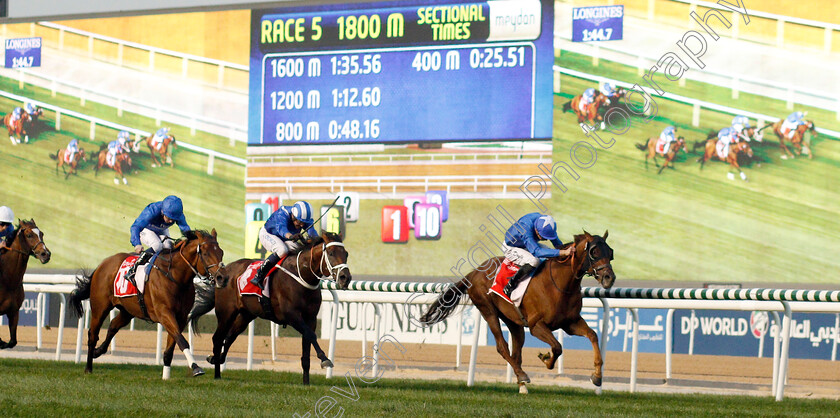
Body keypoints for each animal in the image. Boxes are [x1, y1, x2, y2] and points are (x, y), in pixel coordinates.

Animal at [0, 220, 51, 348]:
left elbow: (12, 342)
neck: (8, 280)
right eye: (29, 235)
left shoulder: (14, 312)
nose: (46, 254)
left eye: (42, 234)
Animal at [69, 229, 228, 378]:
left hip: (128, 311)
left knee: (113, 325)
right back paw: (88, 367)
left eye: (221, 252)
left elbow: (171, 346)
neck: (176, 277)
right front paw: (196, 367)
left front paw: (166, 376)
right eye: (206, 254)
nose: (223, 278)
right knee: (92, 335)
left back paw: (98, 351)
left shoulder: (181, 317)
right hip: (100, 307)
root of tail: (102, 264)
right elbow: (182, 340)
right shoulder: (164, 313)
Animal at [188, 232, 352, 386]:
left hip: (246, 315)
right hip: (226, 312)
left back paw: (216, 359)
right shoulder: (292, 316)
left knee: (229, 338)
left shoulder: (310, 319)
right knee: (217, 338)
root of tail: (221, 273)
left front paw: (306, 383)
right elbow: (311, 336)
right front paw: (325, 359)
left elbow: (307, 348)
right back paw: (217, 374)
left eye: (346, 254)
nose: (345, 278)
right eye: (331, 253)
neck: (301, 275)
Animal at [418, 232, 612, 392]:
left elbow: (593, 335)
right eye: (594, 252)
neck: (560, 284)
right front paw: (546, 358)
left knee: (516, 351)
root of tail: (474, 272)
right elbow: (557, 347)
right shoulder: (536, 325)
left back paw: (522, 384)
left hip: (513, 321)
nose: (609, 278)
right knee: (502, 346)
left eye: (610, 252)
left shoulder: (570, 322)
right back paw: (522, 375)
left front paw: (597, 376)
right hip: (488, 310)